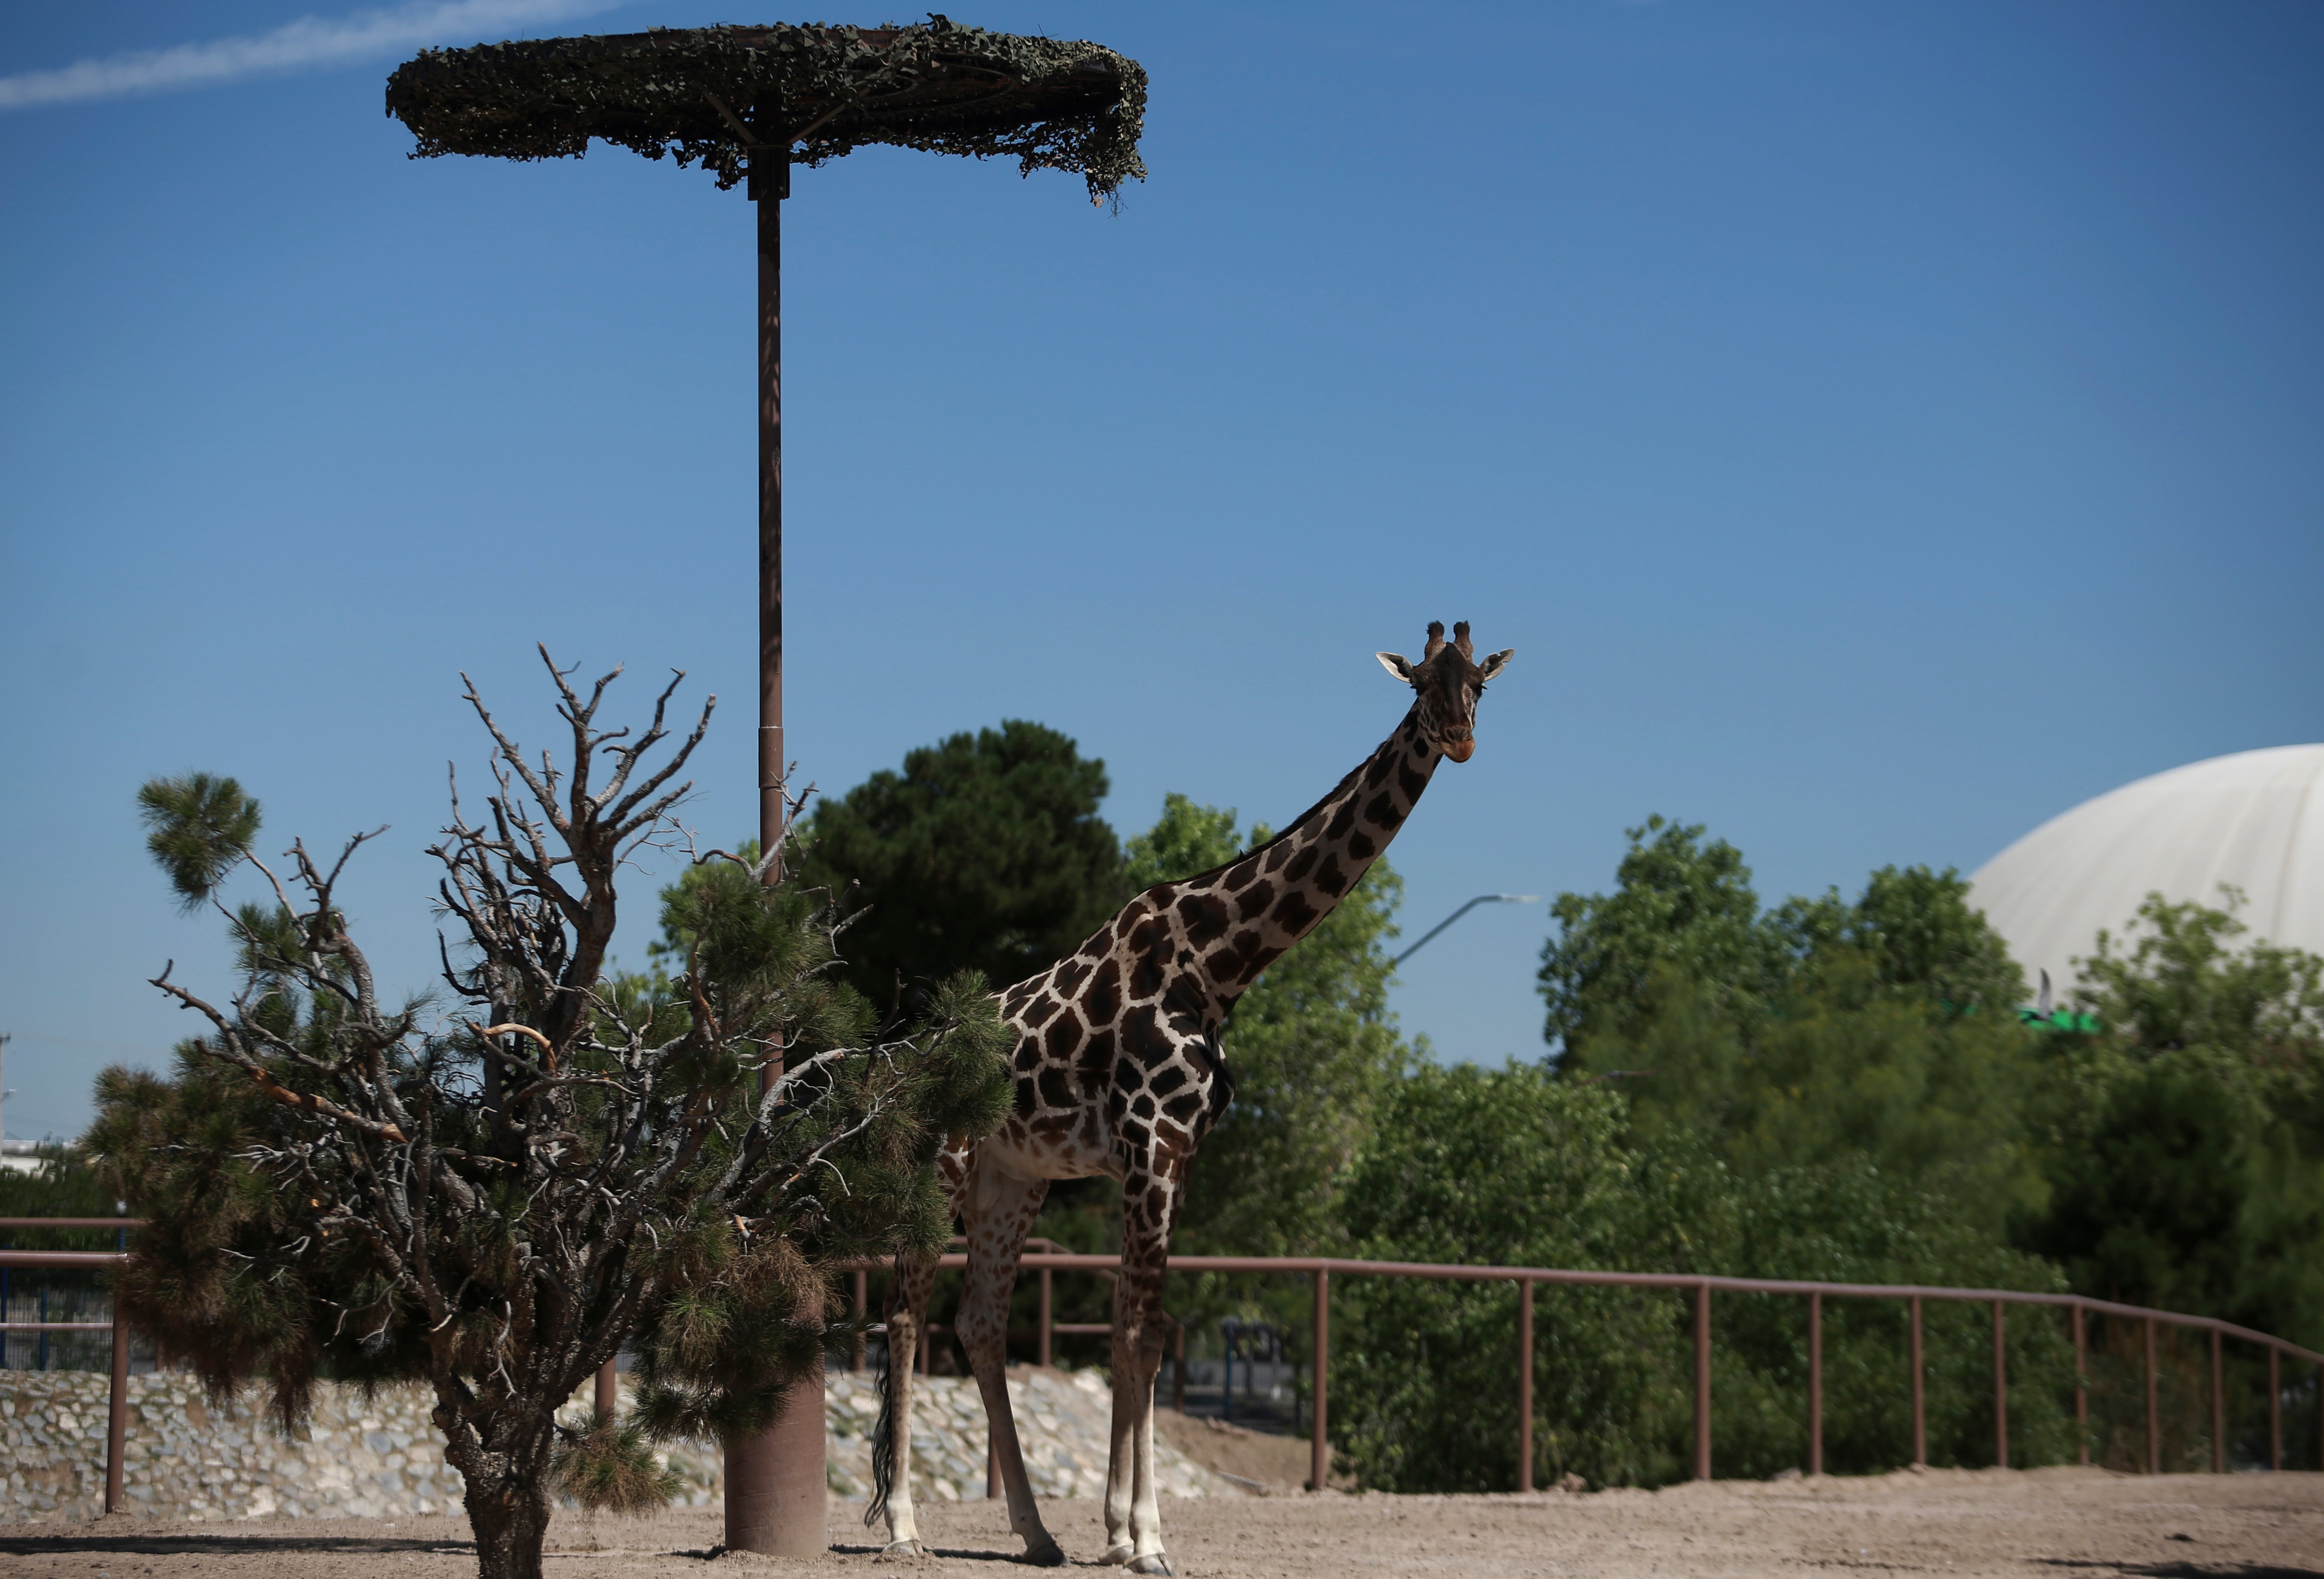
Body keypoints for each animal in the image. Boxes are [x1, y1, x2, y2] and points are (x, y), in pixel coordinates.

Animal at [869, 621, 1514, 1574]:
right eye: (1419, 683)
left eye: (1480, 683)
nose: (1460, 737)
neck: (1218, 965)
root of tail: (908, 1061)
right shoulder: (1149, 1144)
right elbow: (1138, 1331)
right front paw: (1143, 1537)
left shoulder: (1174, 1156)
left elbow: (1146, 1324)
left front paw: (1116, 1529)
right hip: (940, 1161)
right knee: (906, 1309)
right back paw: (906, 1526)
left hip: (1011, 1178)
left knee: (978, 1320)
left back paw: (1037, 1531)